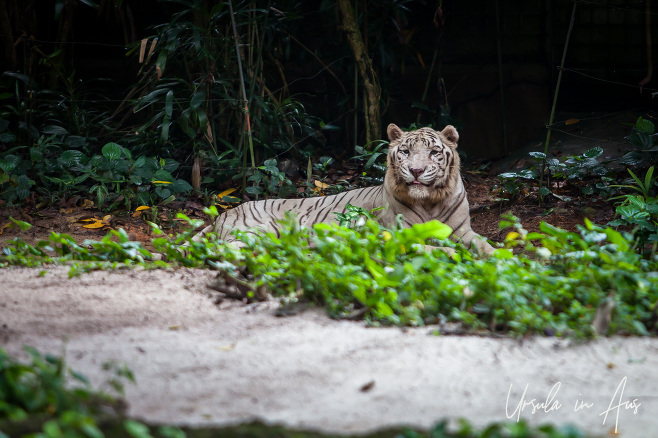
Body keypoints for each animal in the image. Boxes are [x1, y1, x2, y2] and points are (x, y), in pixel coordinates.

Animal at [195, 123, 492, 255]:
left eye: (433, 152)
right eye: (406, 151)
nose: (416, 171)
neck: (431, 201)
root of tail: (222, 215)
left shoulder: (463, 231)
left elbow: (486, 246)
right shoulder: (400, 235)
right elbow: (435, 249)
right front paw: (457, 256)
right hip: (255, 232)